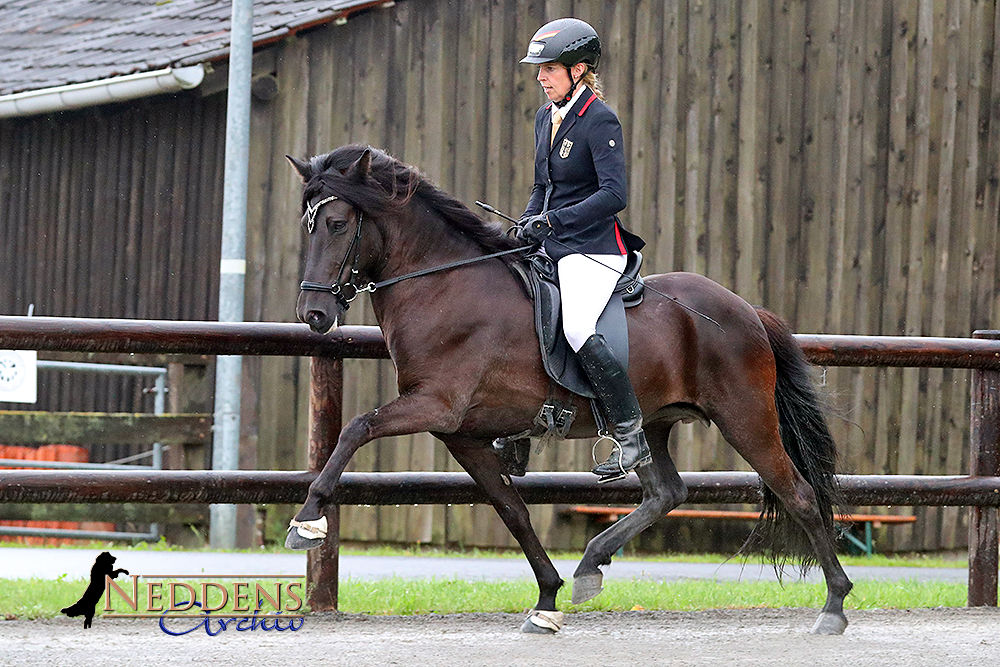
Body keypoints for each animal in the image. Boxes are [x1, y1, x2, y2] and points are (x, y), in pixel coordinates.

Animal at [282, 145, 852, 636]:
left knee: (799, 495)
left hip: (746, 419)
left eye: (337, 224)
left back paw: (834, 606)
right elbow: (512, 511)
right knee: (666, 493)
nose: (314, 314)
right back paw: (590, 565)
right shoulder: (462, 434)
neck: (443, 286)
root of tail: (746, 309)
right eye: (306, 227)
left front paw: (307, 521)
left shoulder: (435, 407)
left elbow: (358, 427)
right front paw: (547, 600)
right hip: (651, 423)